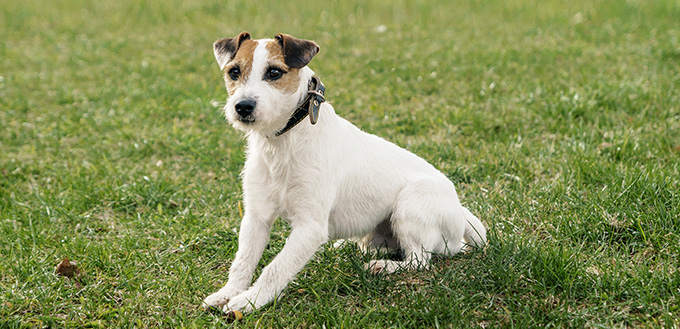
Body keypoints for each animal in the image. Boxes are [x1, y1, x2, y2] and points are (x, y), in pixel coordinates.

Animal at [202, 32, 488, 314]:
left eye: (274, 72)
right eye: (234, 72)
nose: (242, 106)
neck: (283, 143)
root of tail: (460, 210)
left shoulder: (310, 227)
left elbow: (277, 267)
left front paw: (250, 300)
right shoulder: (256, 217)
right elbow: (243, 261)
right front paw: (227, 293)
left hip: (411, 205)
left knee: (419, 260)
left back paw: (384, 266)